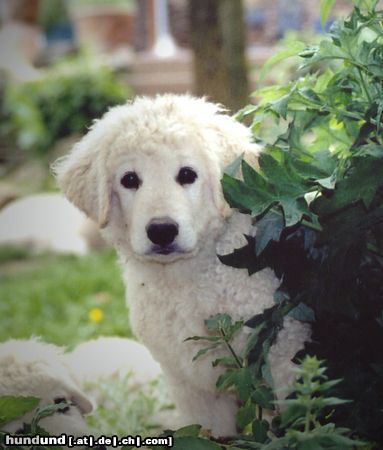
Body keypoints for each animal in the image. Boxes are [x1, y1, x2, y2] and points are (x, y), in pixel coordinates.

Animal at [54, 94, 312, 436]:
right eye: (130, 180)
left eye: (187, 175)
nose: (162, 230)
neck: (185, 281)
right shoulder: (193, 387)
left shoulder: (284, 363)